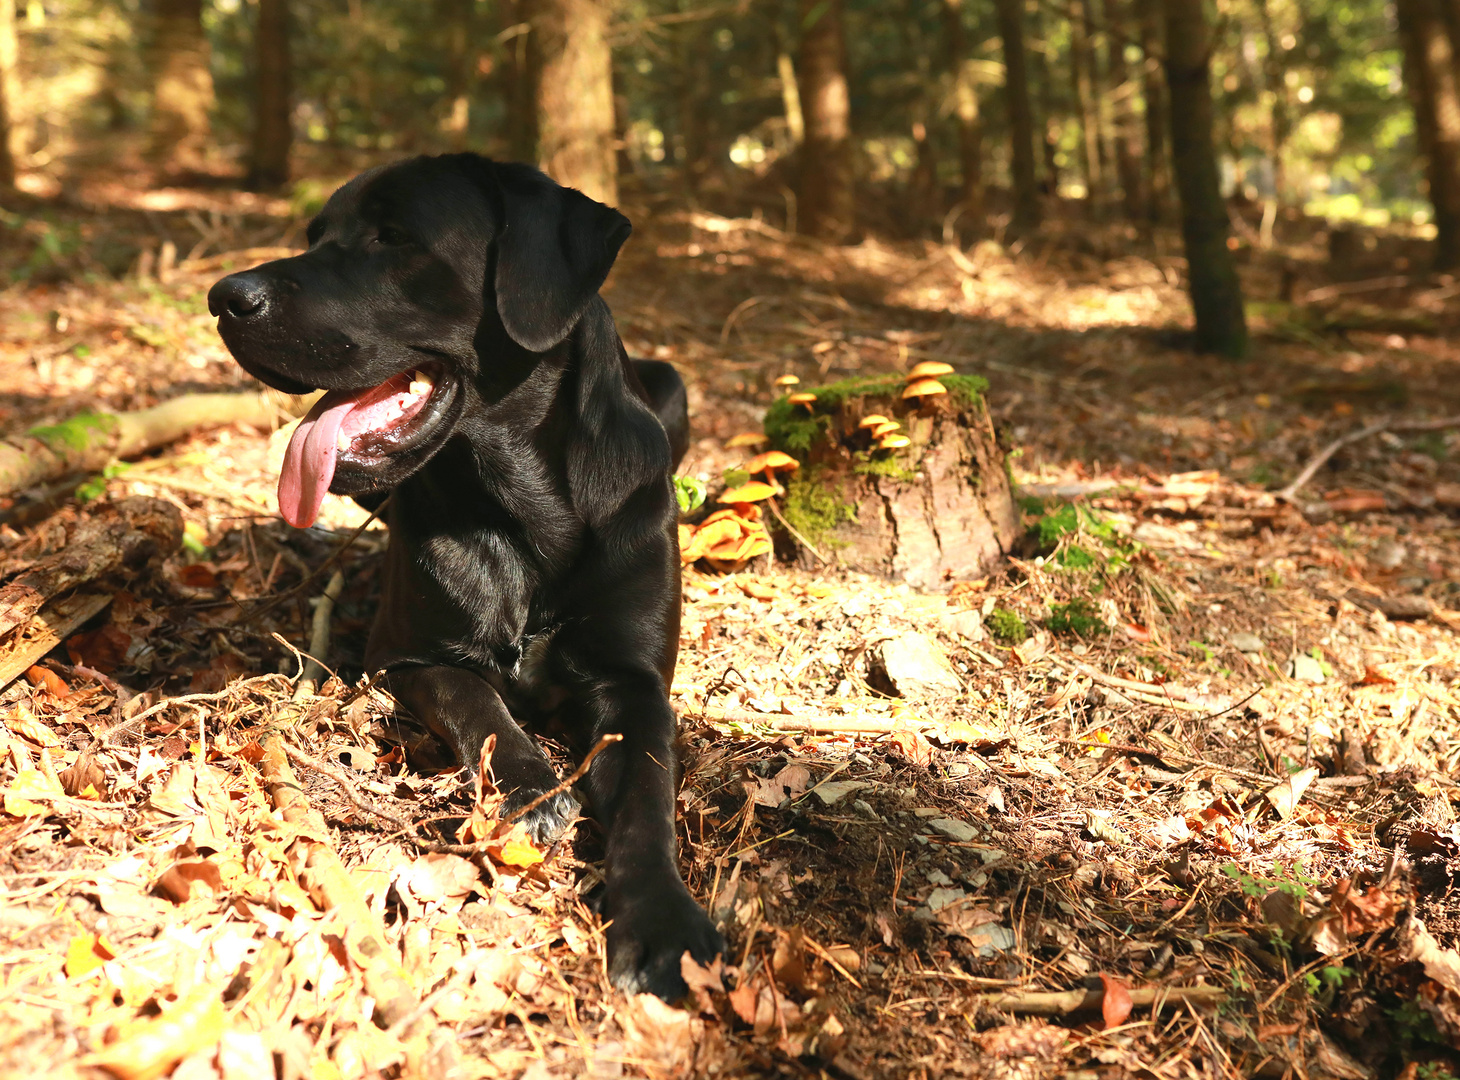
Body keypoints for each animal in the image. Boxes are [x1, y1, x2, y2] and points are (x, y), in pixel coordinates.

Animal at [208, 156, 721, 998]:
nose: (223, 297)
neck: (523, 510)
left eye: (393, 236)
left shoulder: (634, 682)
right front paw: (531, 786)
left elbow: (648, 796)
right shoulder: (409, 656)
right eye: (315, 235)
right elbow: (480, 706)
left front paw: (664, 923)